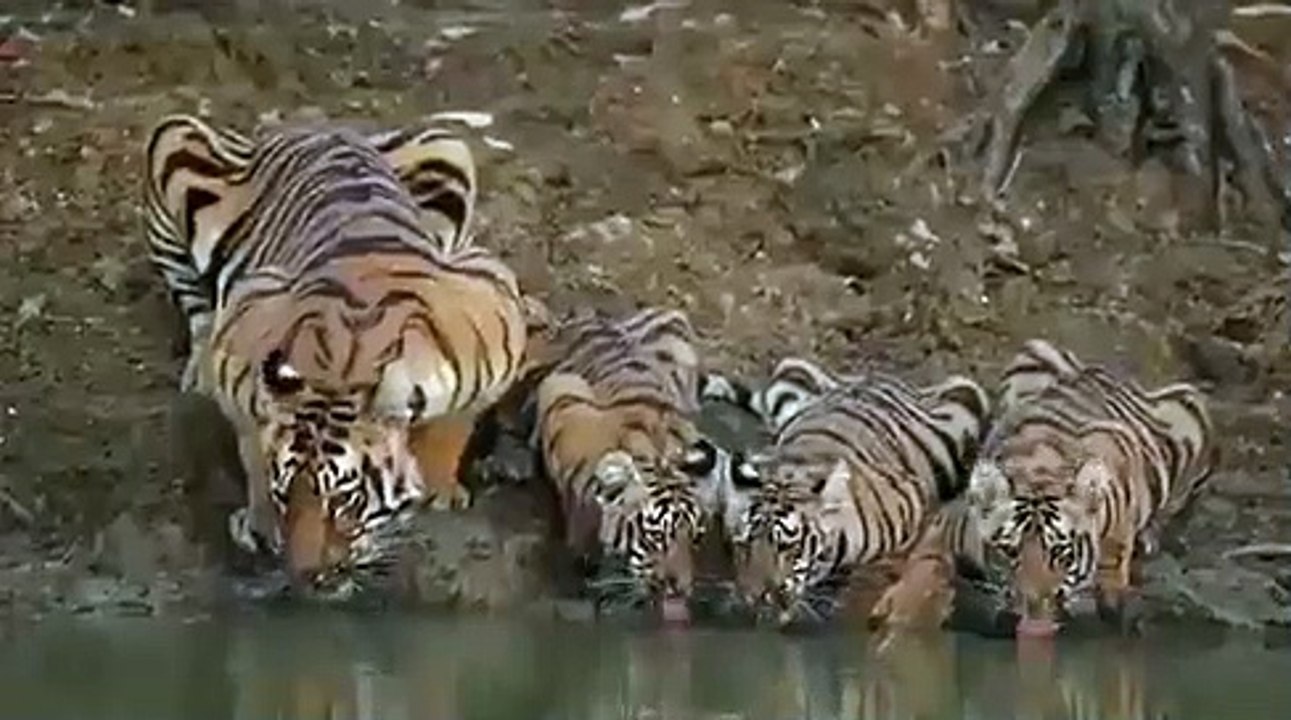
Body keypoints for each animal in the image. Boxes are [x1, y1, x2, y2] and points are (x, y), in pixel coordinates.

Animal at [143, 114, 531, 583]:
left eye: (346, 498)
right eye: (284, 491)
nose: (304, 572)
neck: (345, 363)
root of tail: (312, 126)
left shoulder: (496, 308)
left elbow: (458, 421)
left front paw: (439, 486)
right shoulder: (243, 327)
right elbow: (251, 442)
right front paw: (260, 525)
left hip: (449, 145)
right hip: (174, 138)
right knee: (196, 304)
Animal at [700, 356, 991, 626]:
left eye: (788, 548)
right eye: (743, 544)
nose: (755, 599)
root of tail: (876, 376)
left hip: (967, 395)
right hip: (790, 370)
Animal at [959, 338, 1215, 638]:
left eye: (1060, 553)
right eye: (1009, 551)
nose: (1032, 610)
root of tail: (1104, 373)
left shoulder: (1116, 541)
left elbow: (1111, 593)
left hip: (1191, 407)